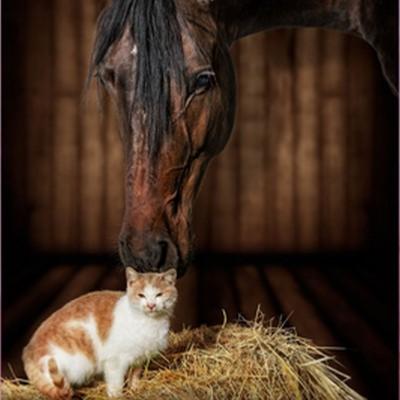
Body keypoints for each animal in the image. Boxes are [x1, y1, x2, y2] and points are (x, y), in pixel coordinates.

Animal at [22, 268, 177, 398]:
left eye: (159, 295)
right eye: (141, 295)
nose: (151, 305)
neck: (148, 321)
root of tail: (28, 351)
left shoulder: (139, 358)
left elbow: (135, 376)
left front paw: (135, 390)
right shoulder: (115, 361)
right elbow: (116, 384)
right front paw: (117, 396)